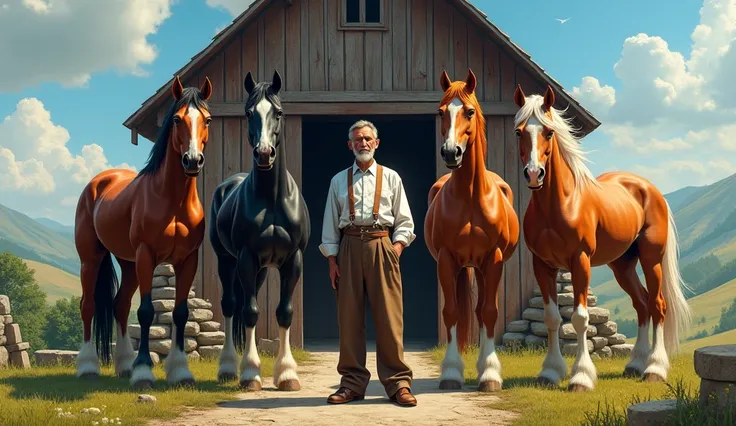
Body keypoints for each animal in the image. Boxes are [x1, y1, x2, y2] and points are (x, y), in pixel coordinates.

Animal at [74, 74, 213, 390]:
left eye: (207, 119)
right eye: (176, 119)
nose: (192, 160)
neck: (172, 200)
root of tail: (98, 182)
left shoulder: (188, 260)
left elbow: (181, 312)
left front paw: (180, 371)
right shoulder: (147, 256)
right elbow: (147, 311)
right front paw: (144, 371)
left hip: (128, 265)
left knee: (120, 305)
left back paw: (124, 364)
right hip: (92, 259)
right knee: (88, 305)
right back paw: (88, 366)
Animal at [208, 70, 310, 392]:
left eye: (278, 112)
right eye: (248, 112)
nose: (264, 154)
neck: (272, 199)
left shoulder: (293, 260)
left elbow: (284, 312)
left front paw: (287, 374)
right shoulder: (246, 257)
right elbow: (251, 312)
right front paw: (251, 373)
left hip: (263, 269)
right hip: (227, 261)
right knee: (231, 307)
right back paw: (228, 368)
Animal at [422, 68, 520, 392]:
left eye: (470, 111)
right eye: (440, 112)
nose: (451, 153)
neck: (470, 197)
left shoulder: (494, 258)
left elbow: (489, 312)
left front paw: (489, 374)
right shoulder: (446, 258)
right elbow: (451, 312)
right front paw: (451, 372)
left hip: (480, 267)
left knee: (480, 312)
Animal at [512, 84, 688, 392]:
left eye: (549, 132)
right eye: (520, 132)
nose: (534, 174)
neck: (560, 204)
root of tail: (649, 189)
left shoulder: (579, 262)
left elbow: (580, 318)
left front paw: (581, 377)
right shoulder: (542, 265)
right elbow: (551, 318)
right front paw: (550, 372)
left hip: (651, 260)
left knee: (657, 305)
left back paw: (654, 368)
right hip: (622, 266)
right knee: (642, 304)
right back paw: (635, 364)